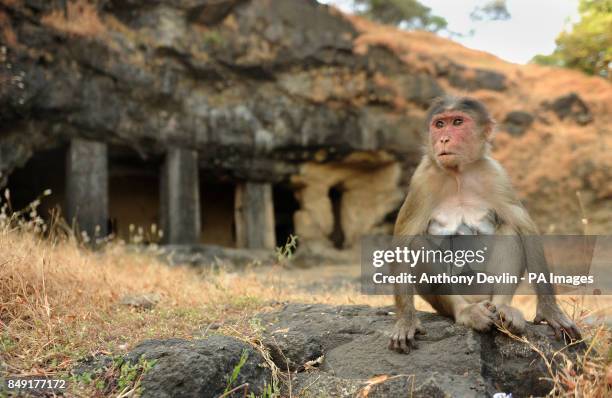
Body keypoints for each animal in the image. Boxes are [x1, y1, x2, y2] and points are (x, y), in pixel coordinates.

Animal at [390, 95, 580, 352]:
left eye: (457, 122)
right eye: (439, 124)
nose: (444, 139)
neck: (458, 174)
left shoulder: (496, 174)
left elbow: (524, 228)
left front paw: (550, 311)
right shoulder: (422, 180)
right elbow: (403, 243)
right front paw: (406, 321)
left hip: (485, 289)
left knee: (509, 230)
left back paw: (503, 309)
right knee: (418, 245)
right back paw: (466, 311)